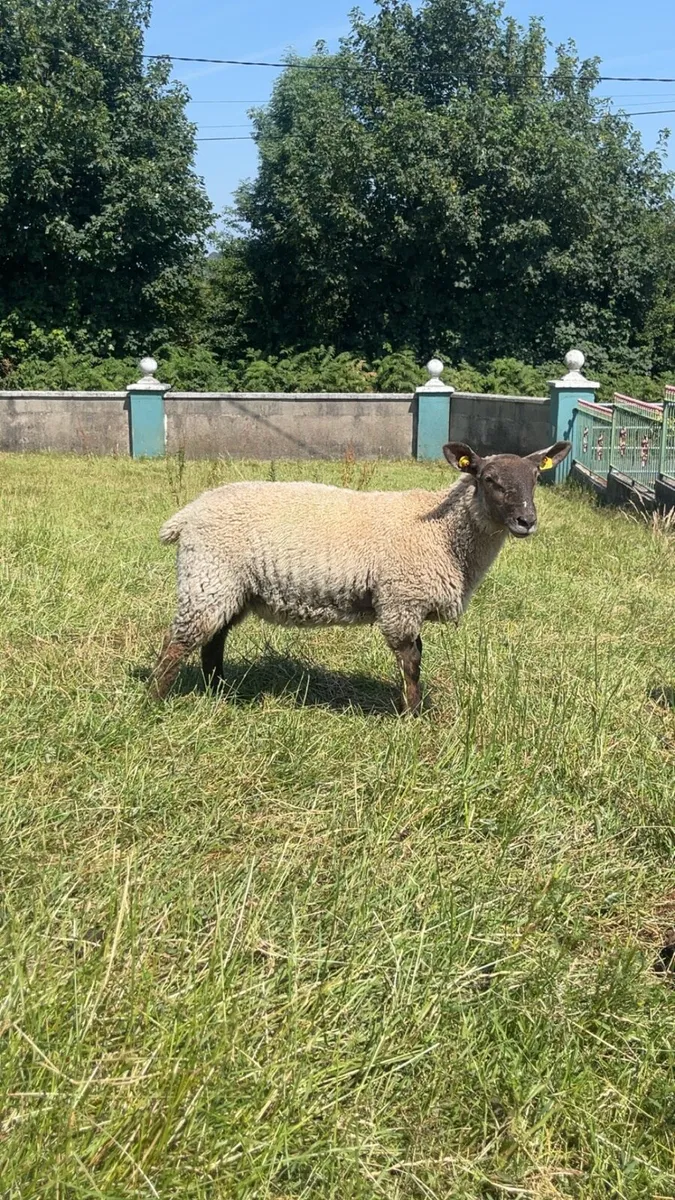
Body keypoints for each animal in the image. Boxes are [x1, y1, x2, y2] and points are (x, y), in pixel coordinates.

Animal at [150, 440, 571, 712]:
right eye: (488, 479)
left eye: (536, 478)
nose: (526, 521)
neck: (443, 533)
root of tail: (188, 514)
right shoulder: (401, 600)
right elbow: (411, 660)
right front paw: (411, 715)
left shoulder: (407, 601)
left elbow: (416, 658)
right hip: (208, 575)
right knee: (178, 643)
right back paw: (155, 703)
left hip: (229, 586)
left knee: (213, 640)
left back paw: (218, 692)